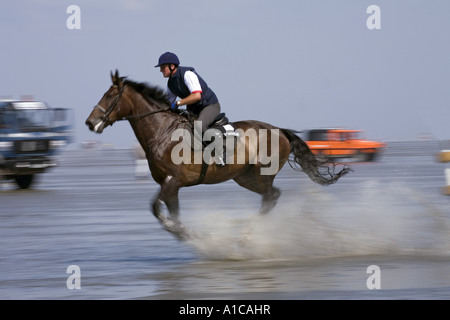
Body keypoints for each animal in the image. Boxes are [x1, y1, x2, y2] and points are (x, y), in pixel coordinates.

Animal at [85, 70, 352, 240]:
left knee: (269, 198)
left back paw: (247, 230)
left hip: (263, 173)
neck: (162, 132)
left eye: (110, 96)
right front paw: (183, 232)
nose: (90, 122)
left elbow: (165, 212)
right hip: (245, 177)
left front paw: (189, 234)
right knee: (273, 196)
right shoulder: (166, 183)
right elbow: (161, 211)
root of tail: (280, 130)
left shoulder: (173, 182)